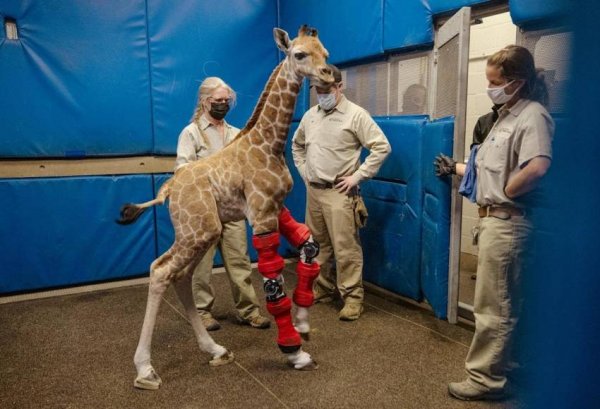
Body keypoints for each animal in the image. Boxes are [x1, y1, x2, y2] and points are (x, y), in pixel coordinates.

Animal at [117, 25, 332, 388]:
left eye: (326, 53)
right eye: (300, 54)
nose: (331, 74)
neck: (268, 144)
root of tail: (169, 190)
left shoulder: (275, 208)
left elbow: (309, 247)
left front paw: (303, 323)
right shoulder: (261, 215)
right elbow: (273, 285)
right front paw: (295, 352)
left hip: (203, 233)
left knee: (181, 276)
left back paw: (215, 349)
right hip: (198, 230)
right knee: (160, 270)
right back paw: (145, 370)